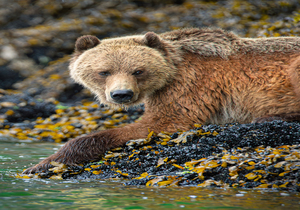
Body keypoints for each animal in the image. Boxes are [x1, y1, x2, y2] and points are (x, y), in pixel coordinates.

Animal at [24, 27, 300, 174]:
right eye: (104, 71)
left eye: (138, 70)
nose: (121, 94)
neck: (172, 69)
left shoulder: (190, 85)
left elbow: (164, 123)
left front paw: (40, 164)